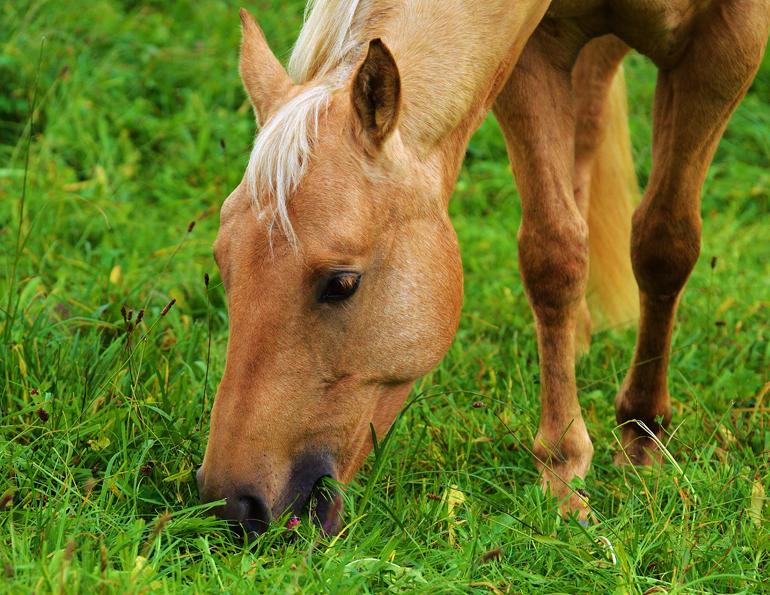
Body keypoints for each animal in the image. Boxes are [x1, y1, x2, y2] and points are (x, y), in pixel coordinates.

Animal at [198, 0, 768, 536]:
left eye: (341, 283)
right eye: (224, 266)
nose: (233, 506)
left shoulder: (728, 42)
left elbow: (664, 243)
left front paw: (642, 437)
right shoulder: (533, 51)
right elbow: (554, 252)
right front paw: (565, 470)